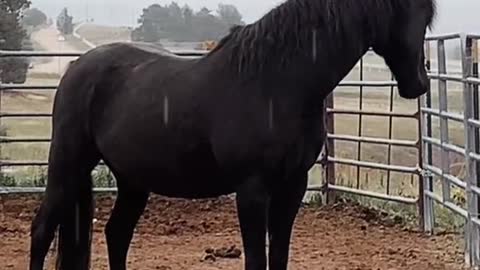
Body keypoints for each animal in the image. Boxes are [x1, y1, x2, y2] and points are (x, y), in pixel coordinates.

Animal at [29, 0, 436, 268]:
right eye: (418, 13)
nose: (420, 82)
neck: (277, 84)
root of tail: (77, 68)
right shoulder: (252, 190)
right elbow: (257, 260)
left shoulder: (293, 186)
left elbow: (279, 256)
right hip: (67, 165)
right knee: (42, 230)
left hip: (132, 180)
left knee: (116, 234)